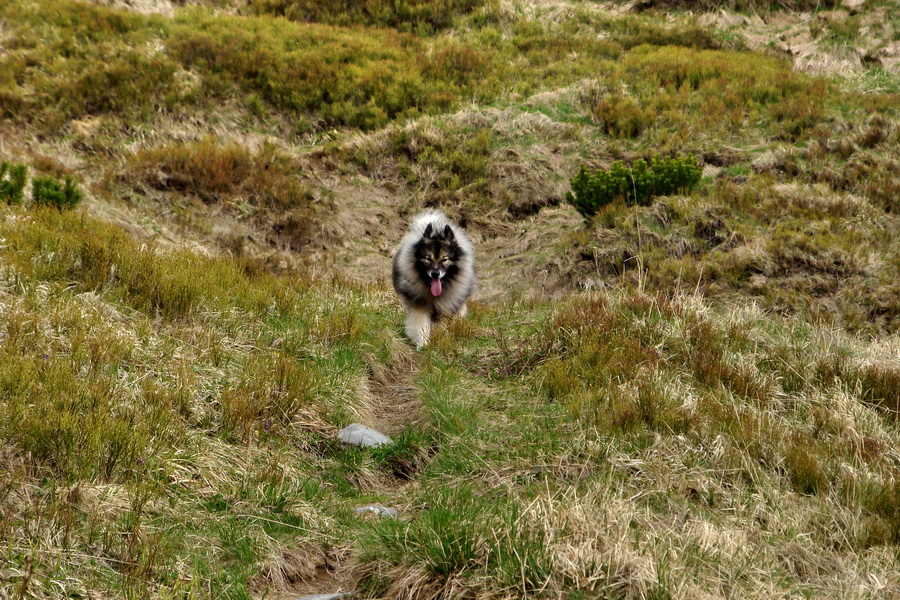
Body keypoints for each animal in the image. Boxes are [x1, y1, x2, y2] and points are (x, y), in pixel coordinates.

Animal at [394, 210, 478, 346]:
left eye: (444, 259)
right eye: (428, 258)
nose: (435, 273)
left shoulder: (445, 308)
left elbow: (441, 325)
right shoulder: (419, 304)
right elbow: (420, 324)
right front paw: (422, 342)